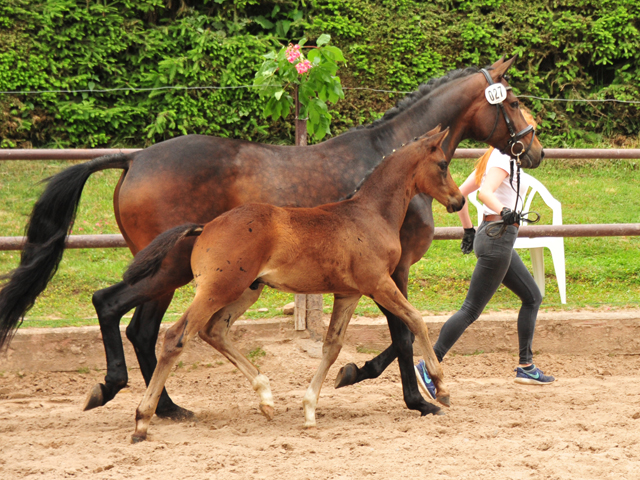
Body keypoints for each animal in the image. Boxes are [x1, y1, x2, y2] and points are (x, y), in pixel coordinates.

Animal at [126, 127, 464, 442]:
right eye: (443, 164)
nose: (459, 200)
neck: (370, 214)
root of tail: (205, 226)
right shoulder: (379, 283)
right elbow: (415, 320)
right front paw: (441, 388)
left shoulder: (348, 294)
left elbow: (332, 347)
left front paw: (310, 409)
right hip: (218, 290)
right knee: (176, 337)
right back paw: (142, 421)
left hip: (246, 291)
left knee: (214, 331)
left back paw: (265, 397)